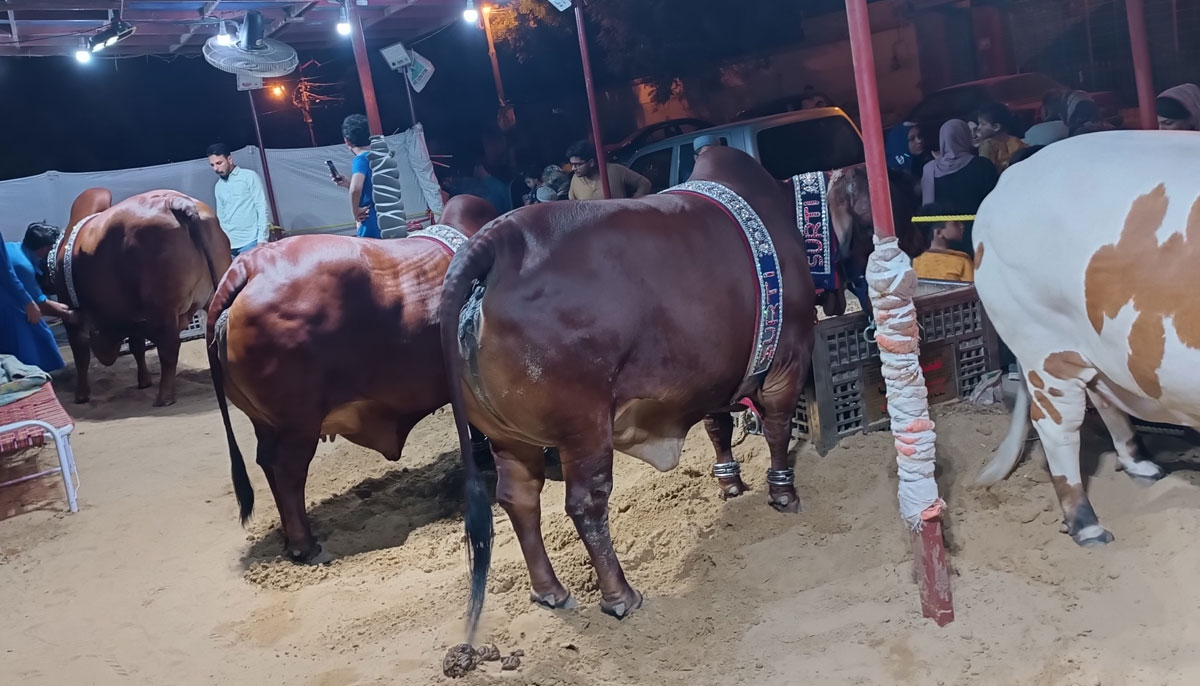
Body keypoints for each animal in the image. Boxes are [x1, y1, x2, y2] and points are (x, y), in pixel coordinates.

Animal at [54, 187, 231, 407]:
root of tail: (177, 202)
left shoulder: (72, 316)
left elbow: (81, 354)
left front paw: (81, 395)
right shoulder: (135, 317)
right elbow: (137, 345)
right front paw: (144, 381)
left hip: (162, 307)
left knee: (169, 347)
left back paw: (164, 397)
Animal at [208, 194, 499, 563]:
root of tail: (246, 268)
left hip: (267, 422)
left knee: (268, 465)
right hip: (298, 424)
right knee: (287, 470)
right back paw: (305, 545)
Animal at [441, 146, 916, 638]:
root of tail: (497, 241)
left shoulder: (712, 372)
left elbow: (718, 425)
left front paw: (730, 483)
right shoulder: (786, 357)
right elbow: (778, 428)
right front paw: (783, 493)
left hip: (508, 439)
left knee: (519, 499)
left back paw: (549, 590)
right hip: (584, 428)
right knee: (586, 504)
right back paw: (620, 596)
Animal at [974, 131, 1200, 544]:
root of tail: (1009, 179)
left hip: (1097, 348)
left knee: (1106, 398)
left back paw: (1142, 465)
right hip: (1041, 343)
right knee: (1058, 427)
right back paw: (1087, 525)